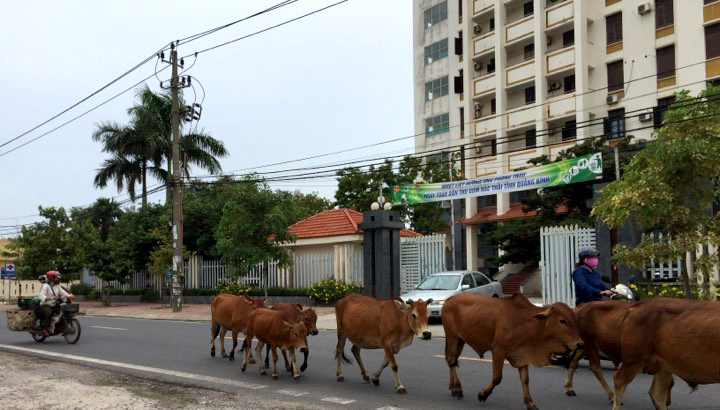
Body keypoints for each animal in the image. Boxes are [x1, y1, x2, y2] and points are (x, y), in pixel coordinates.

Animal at [442, 294, 584, 410]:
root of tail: (449, 300)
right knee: (451, 359)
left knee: (452, 361)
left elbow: (525, 379)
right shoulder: (498, 351)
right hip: (452, 337)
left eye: (574, 319)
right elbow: (497, 378)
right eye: (562, 321)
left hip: (460, 341)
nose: (580, 344)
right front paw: (482, 395)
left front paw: (530, 403)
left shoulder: (523, 354)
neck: (526, 323)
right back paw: (457, 389)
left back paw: (453, 388)